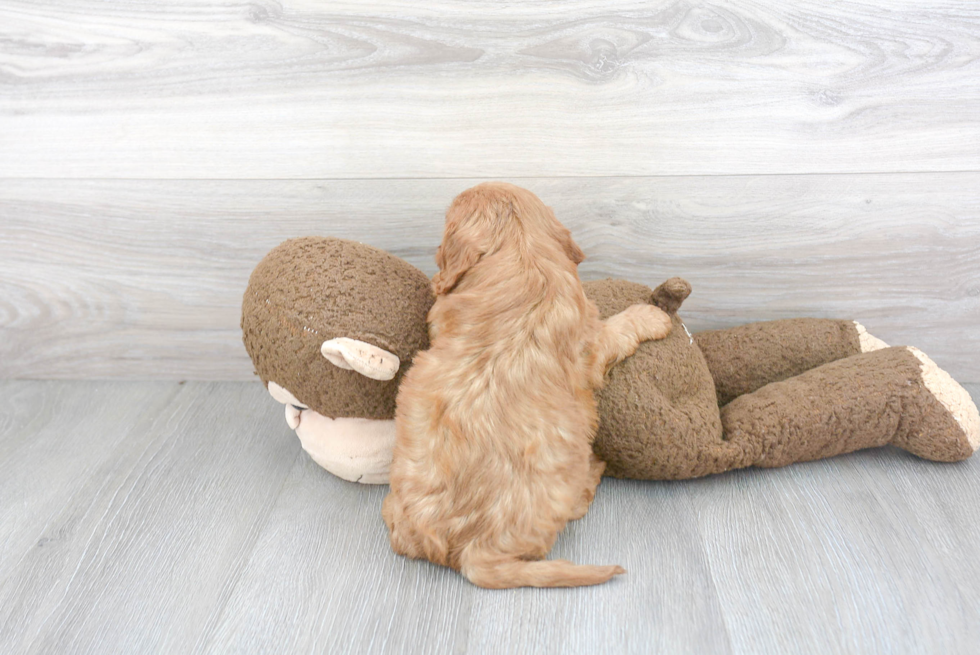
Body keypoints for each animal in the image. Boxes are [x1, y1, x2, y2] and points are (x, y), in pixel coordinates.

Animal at [382, 183, 672, 588]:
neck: (519, 249)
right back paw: (594, 473)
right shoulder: (590, 341)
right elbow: (617, 329)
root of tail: (473, 552)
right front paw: (652, 315)